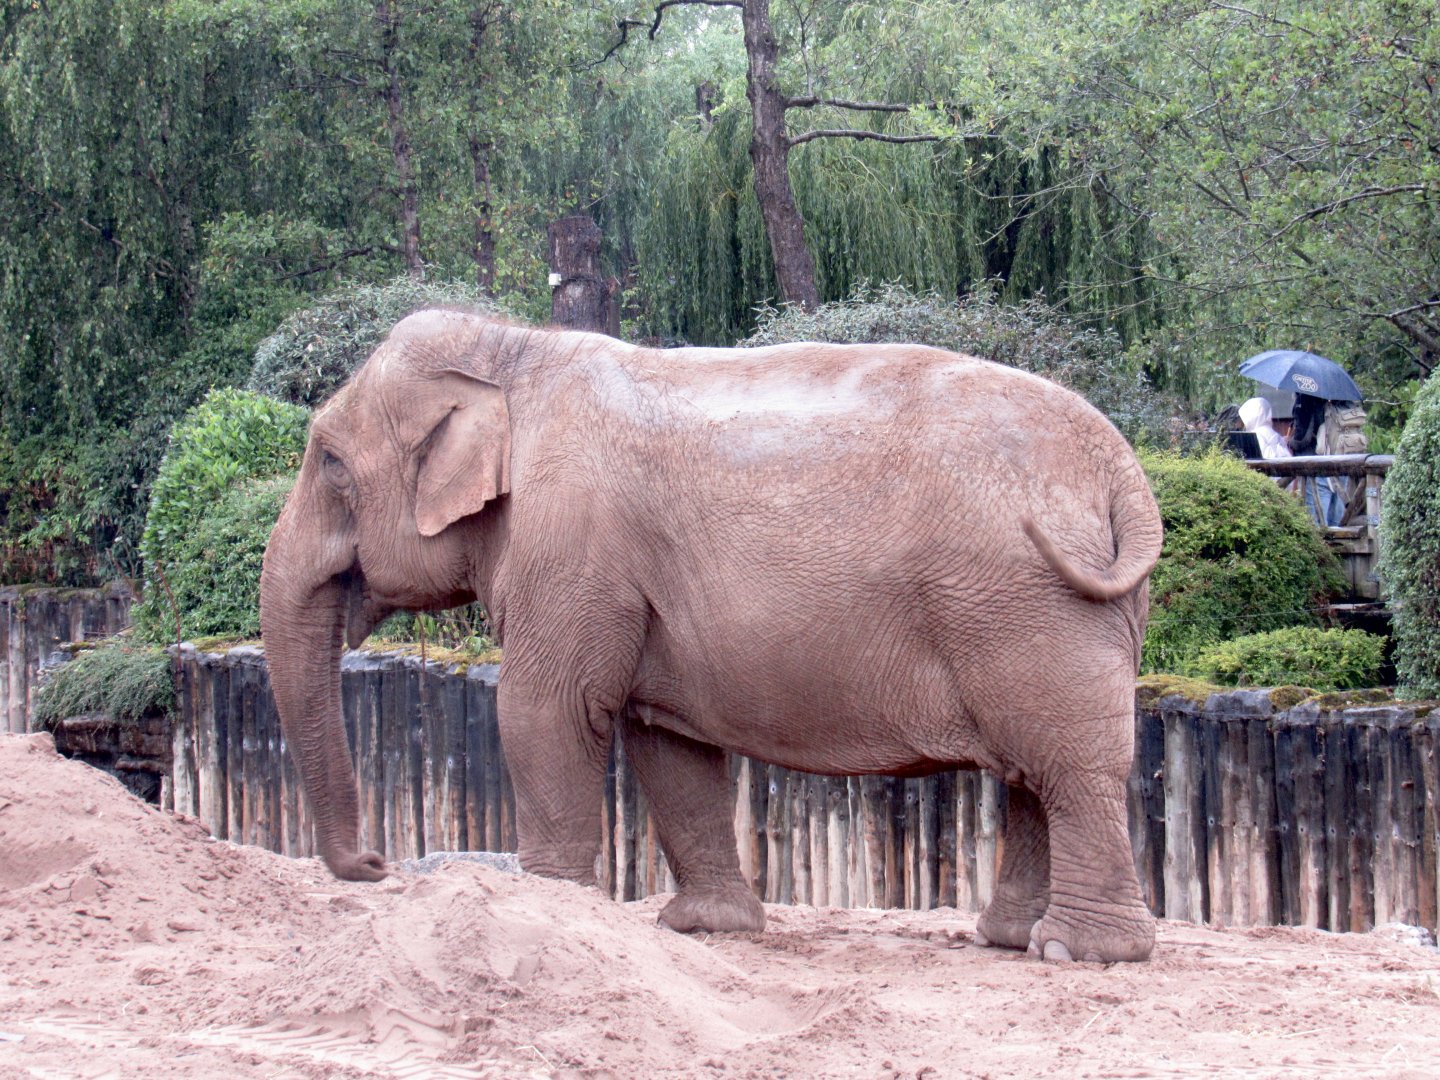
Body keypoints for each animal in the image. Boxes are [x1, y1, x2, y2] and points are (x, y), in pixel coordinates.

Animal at [259, 309, 1164, 963]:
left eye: (329, 462)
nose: (377, 866)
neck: (514, 349)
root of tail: (1121, 469)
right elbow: (667, 739)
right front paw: (705, 929)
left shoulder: (572, 543)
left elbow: (544, 710)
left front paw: (551, 906)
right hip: (1046, 611)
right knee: (1034, 772)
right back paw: (1010, 940)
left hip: (1030, 609)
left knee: (1067, 765)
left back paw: (1079, 952)